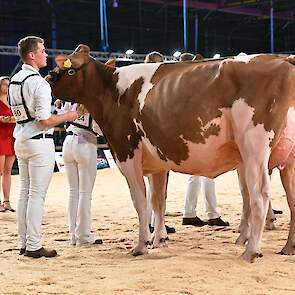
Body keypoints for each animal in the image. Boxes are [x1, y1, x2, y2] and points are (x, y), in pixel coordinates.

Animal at [48, 46, 295, 264]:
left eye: (70, 70)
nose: (48, 77)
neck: (113, 92)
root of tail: (283, 60)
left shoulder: (126, 153)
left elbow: (141, 202)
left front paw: (141, 245)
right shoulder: (157, 164)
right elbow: (158, 201)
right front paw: (160, 239)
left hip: (254, 148)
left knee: (259, 195)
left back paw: (251, 251)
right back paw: (287, 247)